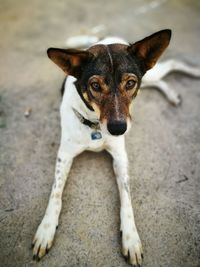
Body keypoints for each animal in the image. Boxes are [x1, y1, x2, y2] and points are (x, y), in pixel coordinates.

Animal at [32, 29, 200, 266]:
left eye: (129, 83)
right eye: (95, 86)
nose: (119, 129)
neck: (95, 126)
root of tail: (106, 37)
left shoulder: (120, 157)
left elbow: (126, 198)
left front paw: (131, 238)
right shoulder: (64, 155)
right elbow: (55, 194)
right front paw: (46, 230)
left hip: (148, 74)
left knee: (172, 65)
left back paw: (193, 73)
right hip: (147, 80)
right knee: (161, 78)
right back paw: (173, 94)